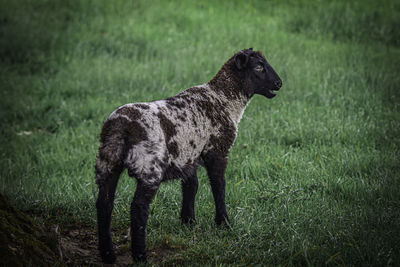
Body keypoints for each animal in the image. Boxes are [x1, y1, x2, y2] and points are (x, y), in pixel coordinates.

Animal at [94, 48, 282, 264]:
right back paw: (140, 255)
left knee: (104, 204)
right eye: (258, 66)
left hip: (108, 162)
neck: (224, 98)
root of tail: (120, 126)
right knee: (139, 208)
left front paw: (188, 221)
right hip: (149, 165)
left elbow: (191, 186)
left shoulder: (188, 155)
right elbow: (219, 187)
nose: (279, 83)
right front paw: (224, 223)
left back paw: (108, 254)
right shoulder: (217, 150)